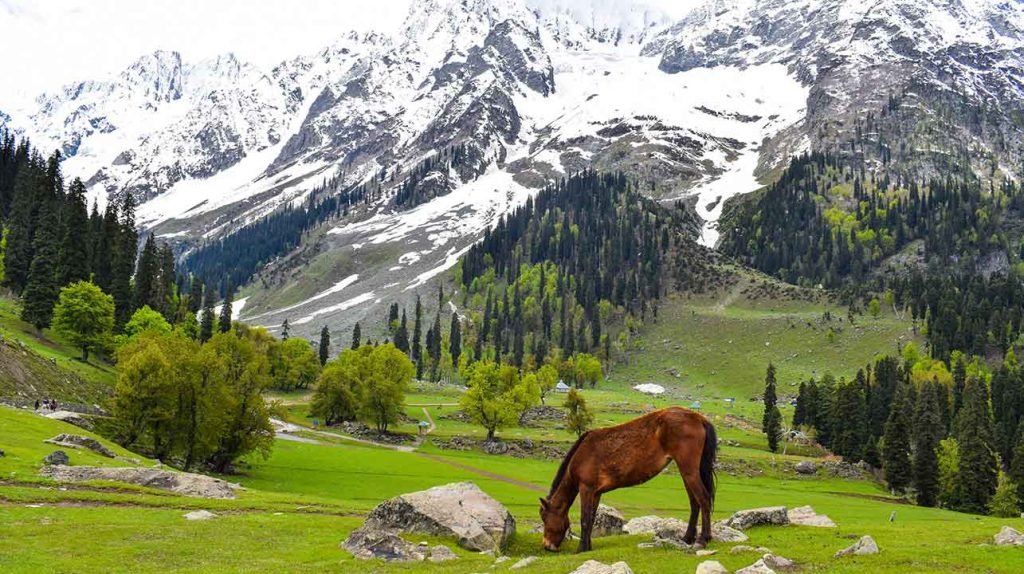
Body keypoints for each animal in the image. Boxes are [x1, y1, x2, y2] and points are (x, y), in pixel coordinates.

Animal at [540, 405, 716, 552]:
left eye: (544, 518)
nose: (547, 546)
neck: (583, 453)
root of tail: (699, 418)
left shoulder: (586, 489)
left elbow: (585, 519)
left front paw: (581, 549)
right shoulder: (596, 493)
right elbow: (591, 519)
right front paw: (588, 546)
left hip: (689, 470)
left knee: (703, 499)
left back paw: (703, 539)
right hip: (687, 473)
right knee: (695, 503)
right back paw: (687, 538)